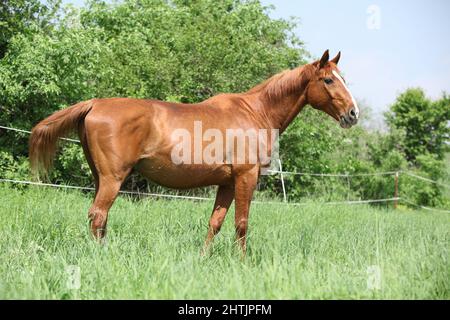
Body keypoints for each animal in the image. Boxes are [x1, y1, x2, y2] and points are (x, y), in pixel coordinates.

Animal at [29, 50, 358, 255]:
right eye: (328, 79)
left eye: (344, 78)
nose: (353, 114)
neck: (255, 112)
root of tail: (95, 103)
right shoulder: (246, 177)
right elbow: (241, 224)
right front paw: (242, 262)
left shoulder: (226, 183)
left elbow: (215, 223)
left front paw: (203, 258)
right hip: (112, 178)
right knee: (98, 216)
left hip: (101, 178)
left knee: (100, 219)